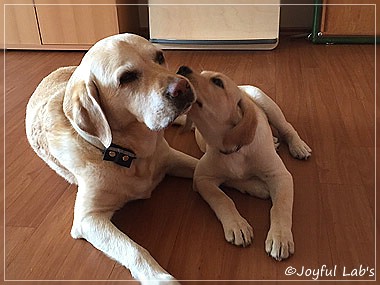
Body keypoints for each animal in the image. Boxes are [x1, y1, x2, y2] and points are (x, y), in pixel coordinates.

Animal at [26, 33, 199, 282]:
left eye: (160, 56)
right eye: (126, 78)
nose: (183, 86)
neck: (132, 156)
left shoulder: (172, 158)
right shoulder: (88, 218)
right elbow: (133, 250)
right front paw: (160, 278)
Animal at [176, 65, 312, 260]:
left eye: (217, 82)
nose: (182, 68)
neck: (232, 147)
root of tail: (241, 86)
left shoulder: (281, 176)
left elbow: (281, 206)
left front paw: (280, 238)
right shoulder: (202, 178)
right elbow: (222, 198)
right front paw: (237, 225)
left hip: (266, 103)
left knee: (287, 127)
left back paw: (297, 145)